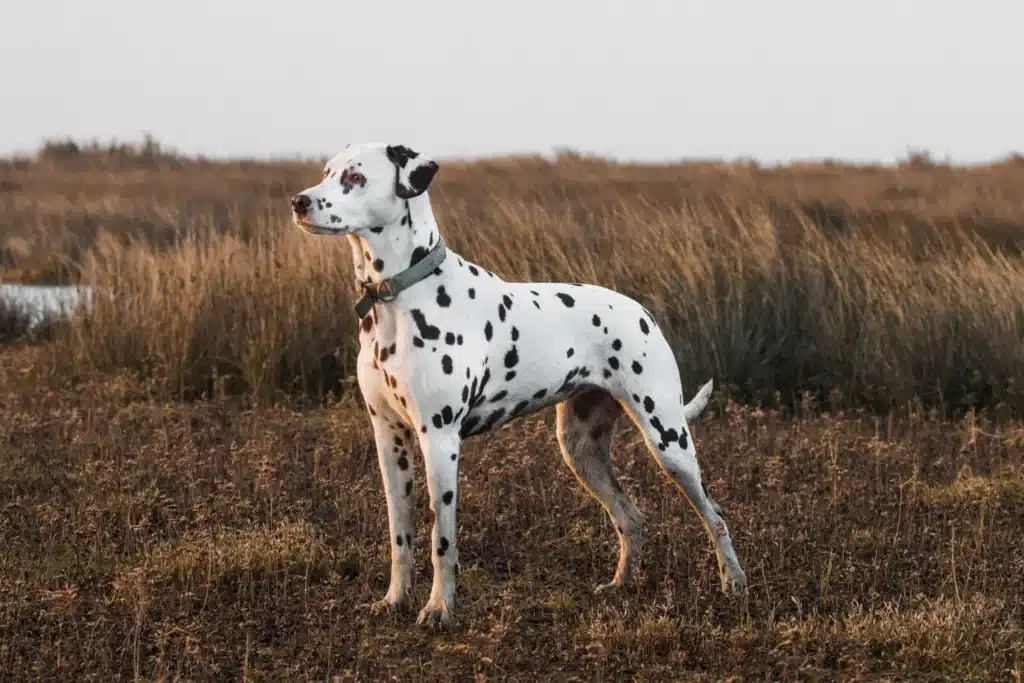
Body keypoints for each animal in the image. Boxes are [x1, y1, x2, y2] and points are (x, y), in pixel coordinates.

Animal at [292, 143, 749, 626]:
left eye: (356, 178)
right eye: (326, 172)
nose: (299, 202)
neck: (398, 296)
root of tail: (643, 312)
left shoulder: (440, 439)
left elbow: (442, 541)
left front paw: (439, 609)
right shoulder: (389, 438)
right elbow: (401, 536)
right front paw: (395, 600)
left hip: (669, 441)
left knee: (715, 514)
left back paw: (734, 584)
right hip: (580, 450)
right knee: (631, 517)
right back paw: (621, 585)